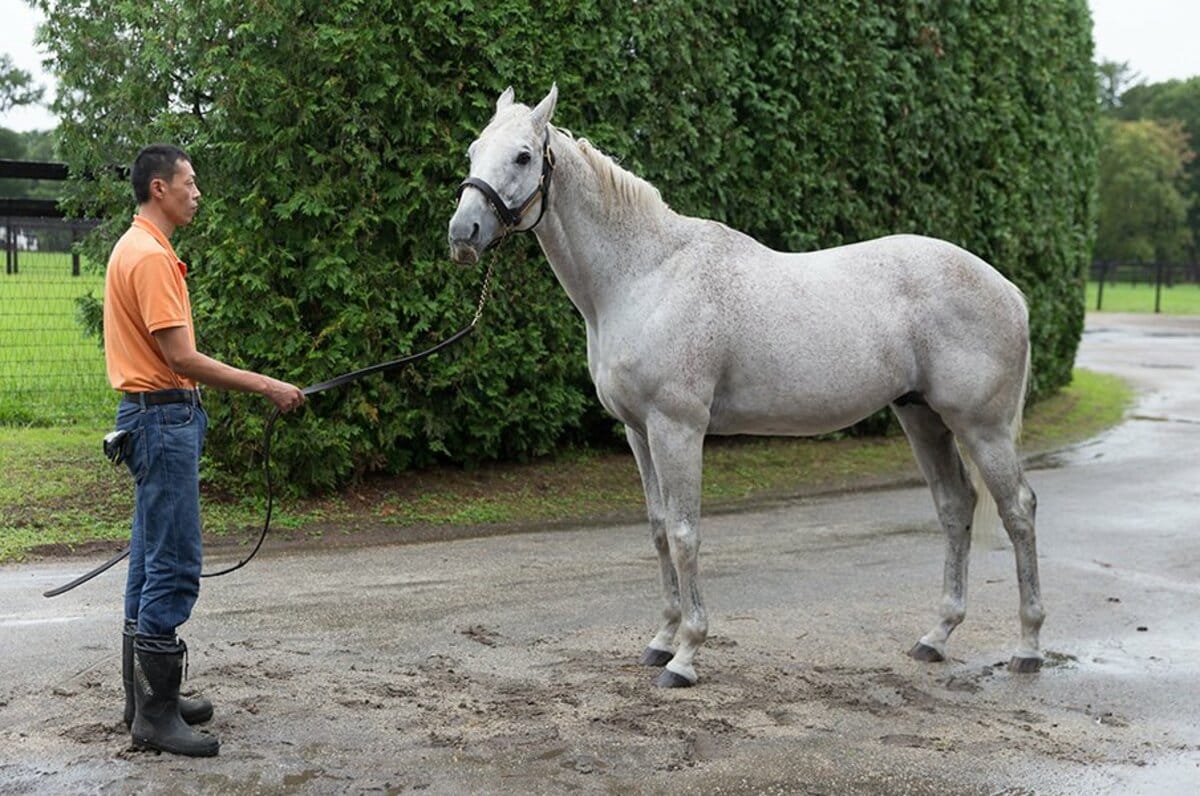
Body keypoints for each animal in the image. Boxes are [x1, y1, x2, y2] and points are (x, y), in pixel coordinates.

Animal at [448, 85, 1041, 686]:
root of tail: (1009, 292)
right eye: (473, 150)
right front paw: (660, 640)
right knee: (955, 506)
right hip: (921, 416)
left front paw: (686, 655)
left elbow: (685, 533)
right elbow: (659, 529)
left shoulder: (678, 428)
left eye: (523, 156)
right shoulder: (639, 432)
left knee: (1017, 510)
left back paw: (1028, 646)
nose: (462, 234)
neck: (647, 275)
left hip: (982, 428)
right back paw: (936, 637)